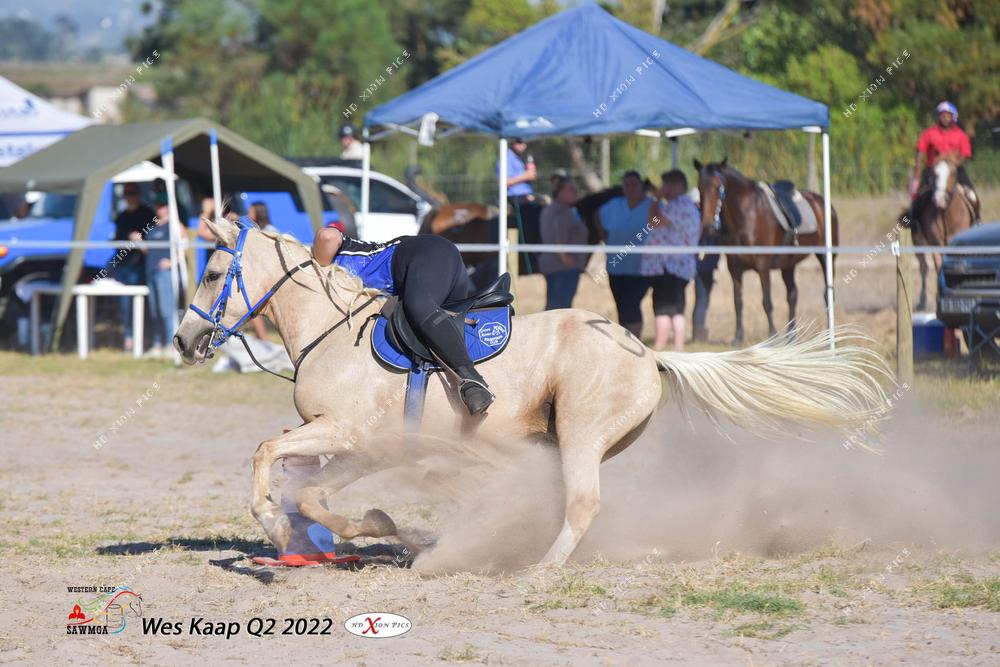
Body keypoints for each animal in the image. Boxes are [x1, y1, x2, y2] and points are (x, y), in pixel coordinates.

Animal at [172, 219, 892, 568]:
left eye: (210, 272)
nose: (182, 339)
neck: (330, 326)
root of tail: (649, 351)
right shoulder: (366, 447)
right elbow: (311, 489)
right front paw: (369, 528)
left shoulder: (349, 433)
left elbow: (268, 455)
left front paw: (279, 526)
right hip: (551, 441)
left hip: (578, 432)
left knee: (582, 502)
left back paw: (537, 567)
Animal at [696, 157, 836, 344]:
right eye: (699, 187)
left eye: (718, 187)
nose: (707, 226)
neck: (746, 216)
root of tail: (823, 202)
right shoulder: (734, 269)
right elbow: (737, 302)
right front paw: (738, 337)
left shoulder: (763, 266)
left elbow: (767, 302)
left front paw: (773, 336)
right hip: (788, 265)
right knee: (792, 295)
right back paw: (791, 336)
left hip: (827, 258)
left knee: (828, 295)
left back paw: (829, 335)